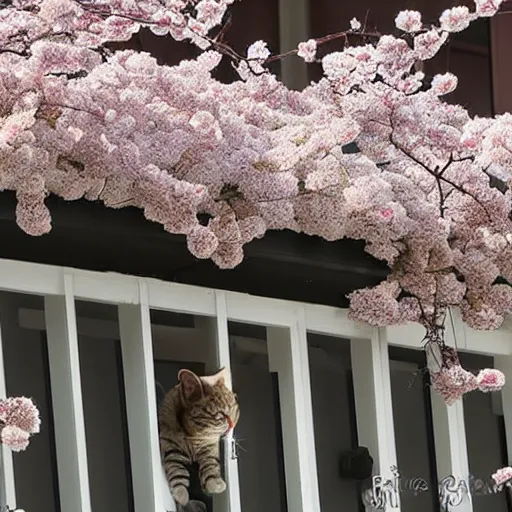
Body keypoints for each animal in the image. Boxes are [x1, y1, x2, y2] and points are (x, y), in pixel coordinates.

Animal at [158, 368, 240, 508]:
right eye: (220, 415)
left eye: (234, 411)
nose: (232, 425)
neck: (192, 435)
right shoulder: (170, 446)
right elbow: (177, 470)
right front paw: (181, 493)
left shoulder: (210, 447)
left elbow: (210, 465)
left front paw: (213, 483)